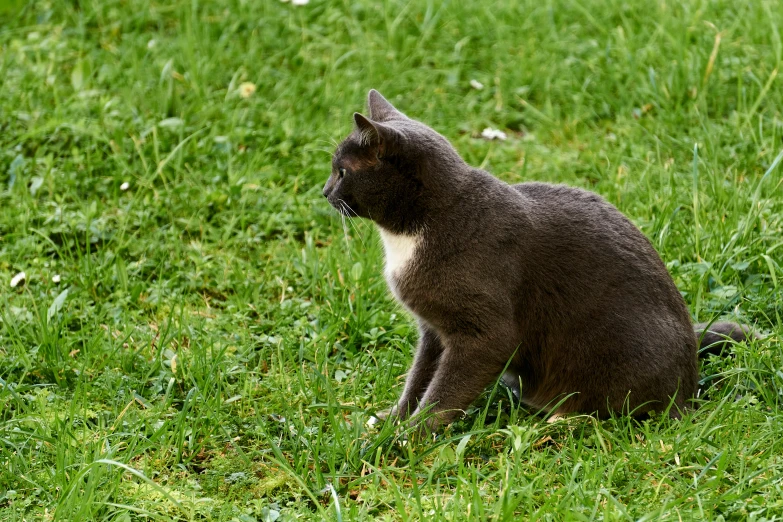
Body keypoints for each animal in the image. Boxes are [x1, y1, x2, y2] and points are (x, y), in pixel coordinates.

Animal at [322, 90, 752, 430]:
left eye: (342, 171)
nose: (323, 191)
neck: (415, 230)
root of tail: (691, 380)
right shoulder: (433, 329)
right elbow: (418, 378)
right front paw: (390, 422)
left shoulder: (483, 331)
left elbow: (445, 392)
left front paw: (408, 438)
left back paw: (565, 419)